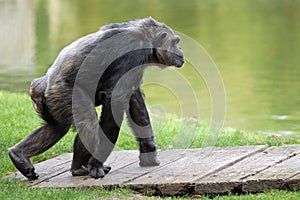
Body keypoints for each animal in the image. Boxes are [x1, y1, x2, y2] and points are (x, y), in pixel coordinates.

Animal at [8, 16, 184, 180]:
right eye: (176, 42)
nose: (181, 49)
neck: (144, 35)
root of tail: (36, 88)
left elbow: (134, 97)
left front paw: (149, 150)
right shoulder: (133, 51)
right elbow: (115, 101)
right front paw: (95, 165)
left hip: (50, 103)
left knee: (56, 128)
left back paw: (19, 156)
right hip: (65, 94)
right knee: (89, 127)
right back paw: (79, 168)